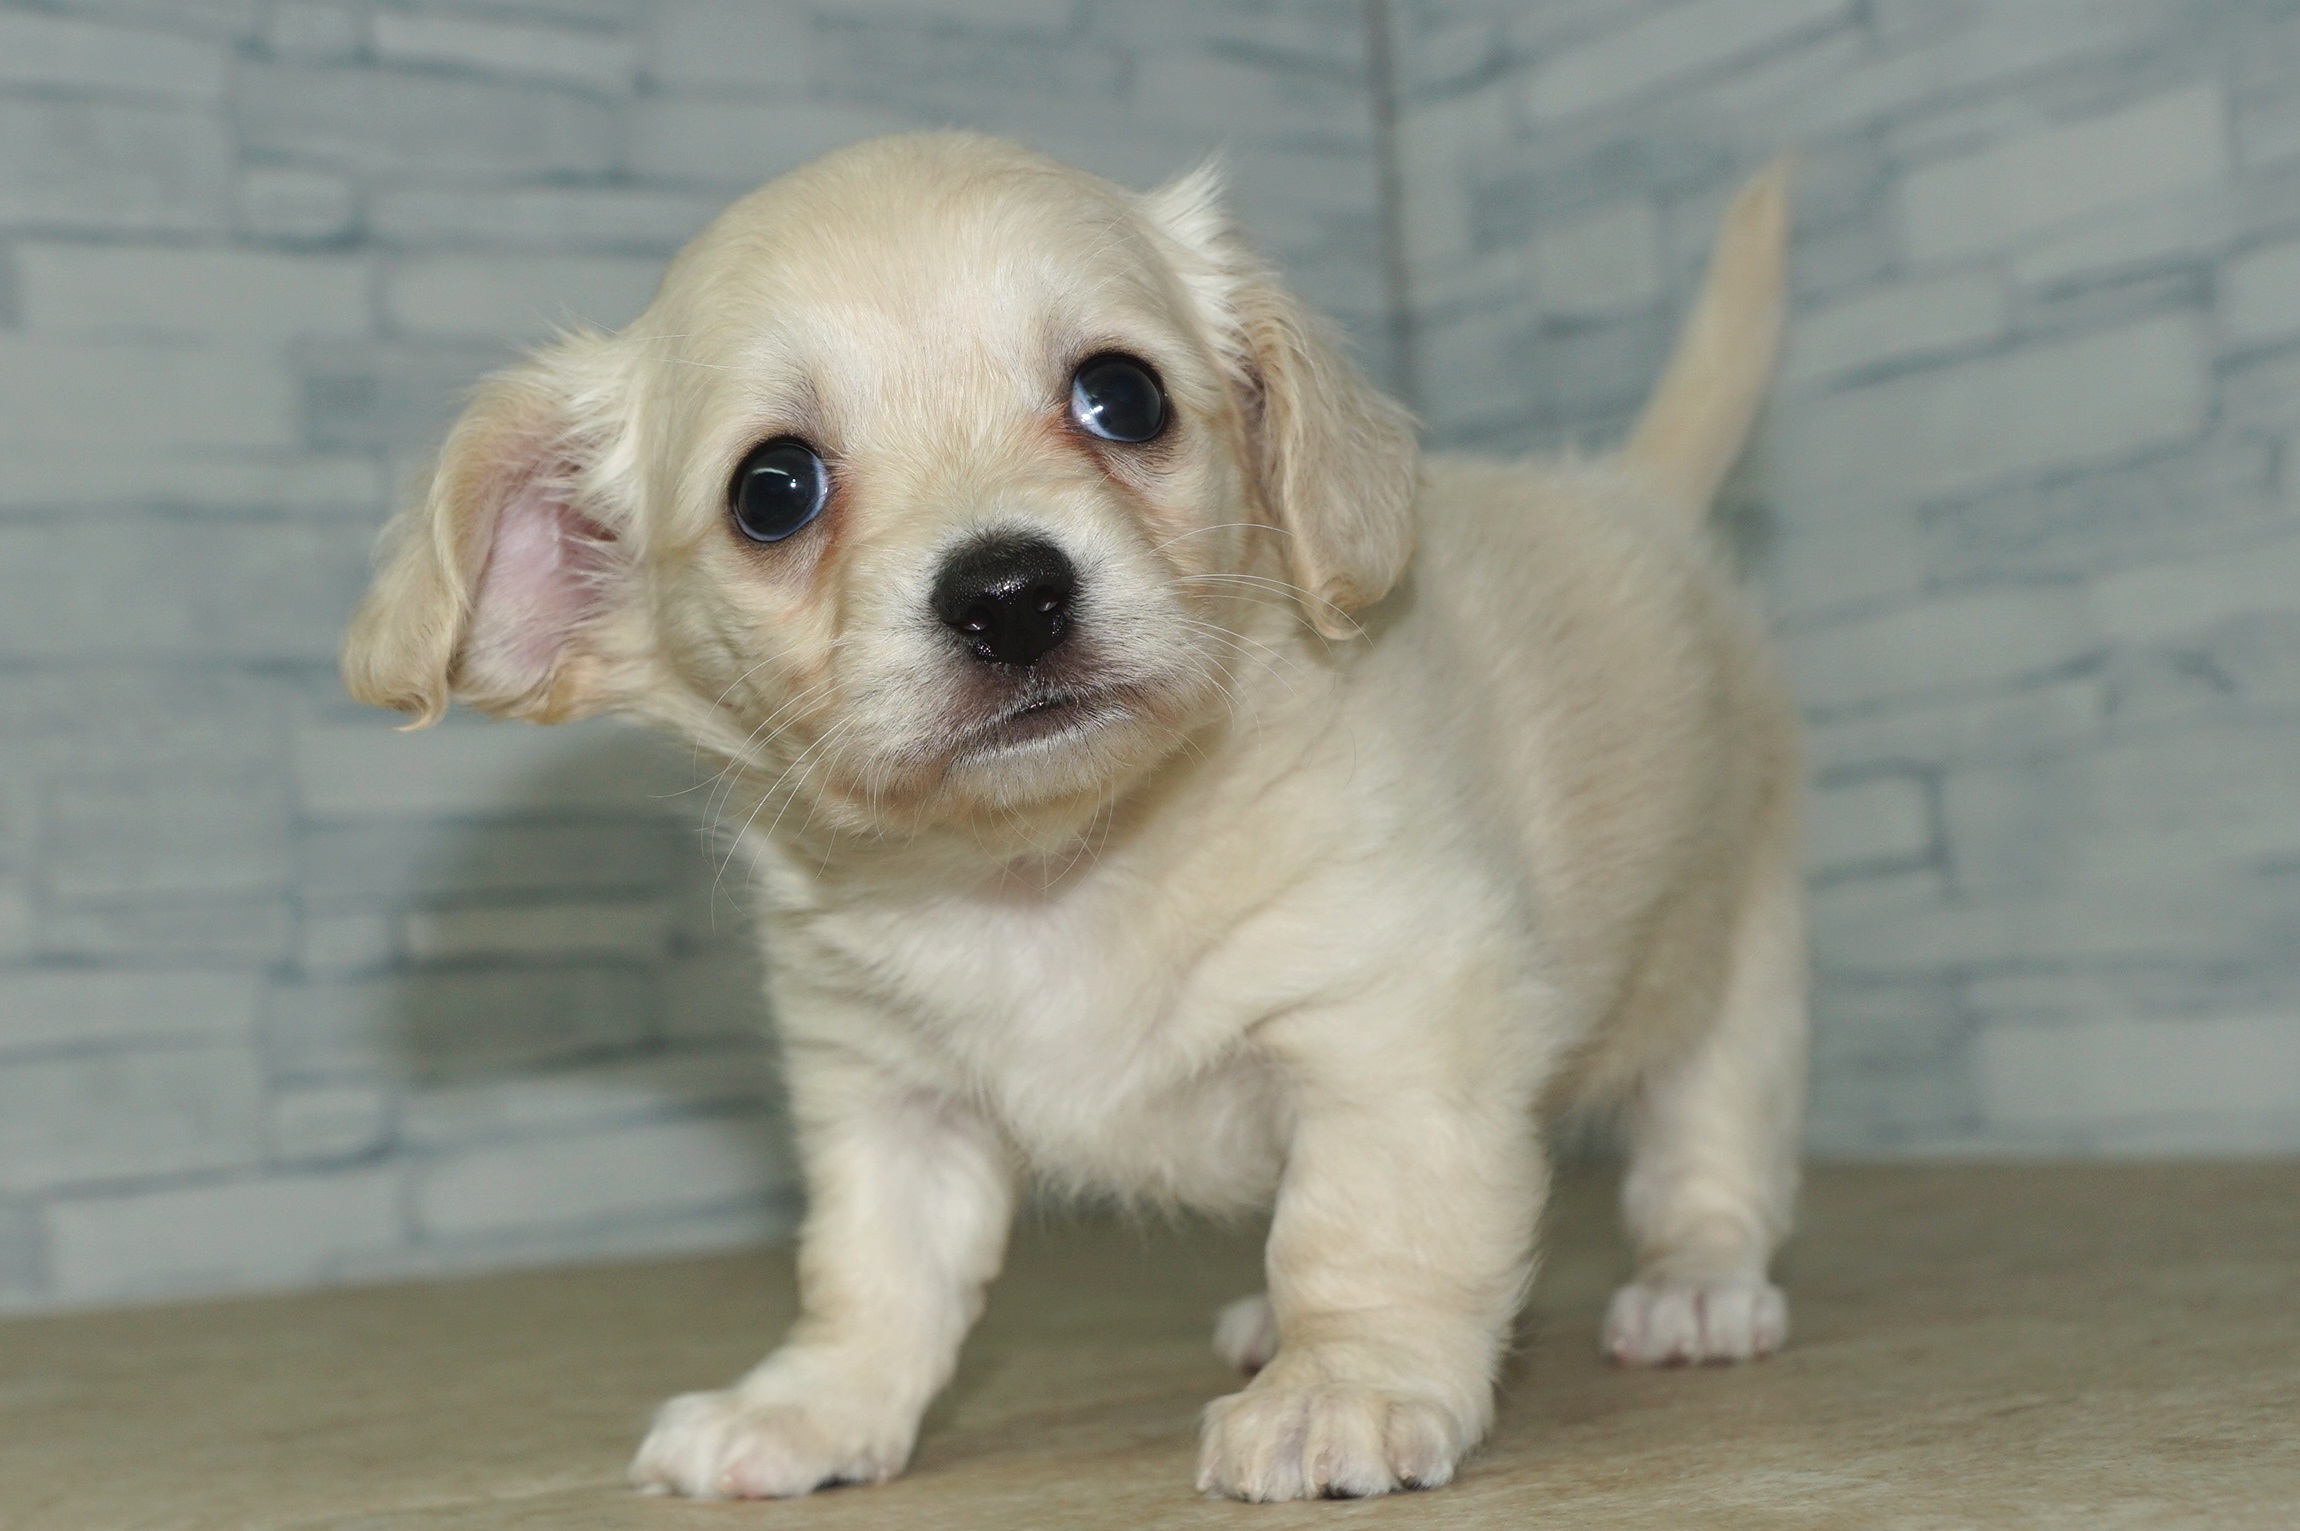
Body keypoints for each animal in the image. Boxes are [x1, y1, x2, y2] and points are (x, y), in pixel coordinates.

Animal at [345, 137, 1812, 1498]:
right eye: (774, 489)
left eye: (1123, 395)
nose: (1008, 593)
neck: (1047, 870)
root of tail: (1635, 492)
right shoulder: (888, 1101)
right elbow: (871, 1276)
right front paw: (810, 1408)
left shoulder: (1392, 1025)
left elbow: (1363, 1232)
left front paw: (1342, 1384)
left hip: (1732, 960)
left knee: (1709, 1145)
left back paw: (1694, 1284)